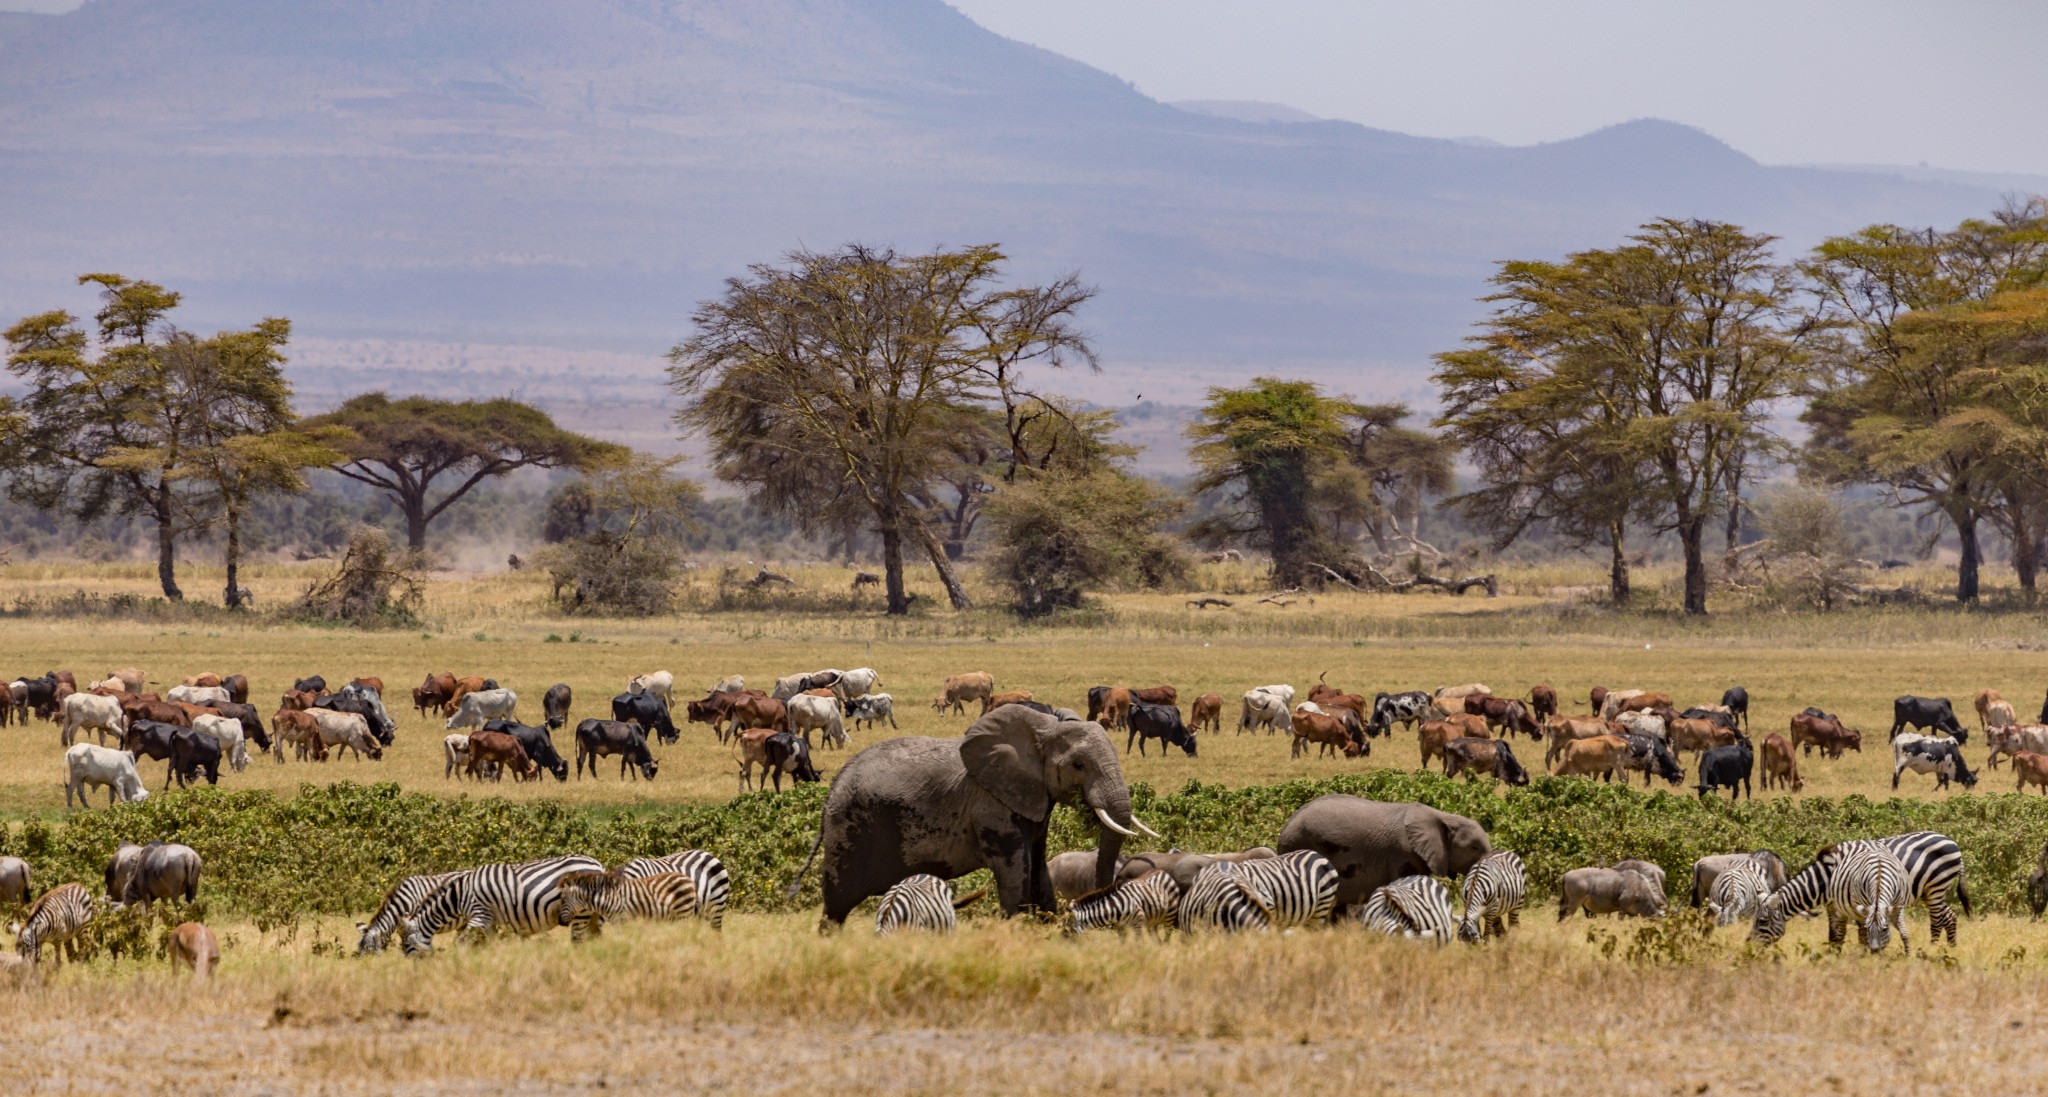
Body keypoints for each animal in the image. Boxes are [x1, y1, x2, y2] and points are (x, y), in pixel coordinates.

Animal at [397, 851, 602, 953]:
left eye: (407, 945)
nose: (413, 970)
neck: (460, 897)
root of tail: (598, 864)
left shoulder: (479, 916)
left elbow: (461, 942)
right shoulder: (489, 922)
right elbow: (487, 944)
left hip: (581, 912)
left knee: (578, 941)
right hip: (592, 914)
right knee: (594, 939)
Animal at [557, 875, 700, 941]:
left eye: (563, 900)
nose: (560, 922)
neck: (606, 898)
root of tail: (688, 879)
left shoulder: (621, 918)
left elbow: (621, 936)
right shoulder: (616, 920)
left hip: (684, 911)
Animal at [794, 704, 1163, 925]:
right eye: (1078, 765)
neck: (1041, 730)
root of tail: (833, 787)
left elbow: (1038, 866)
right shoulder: (990, 805)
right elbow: (1014, 869)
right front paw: (1016, 927)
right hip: (848, 828)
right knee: (837, 902)